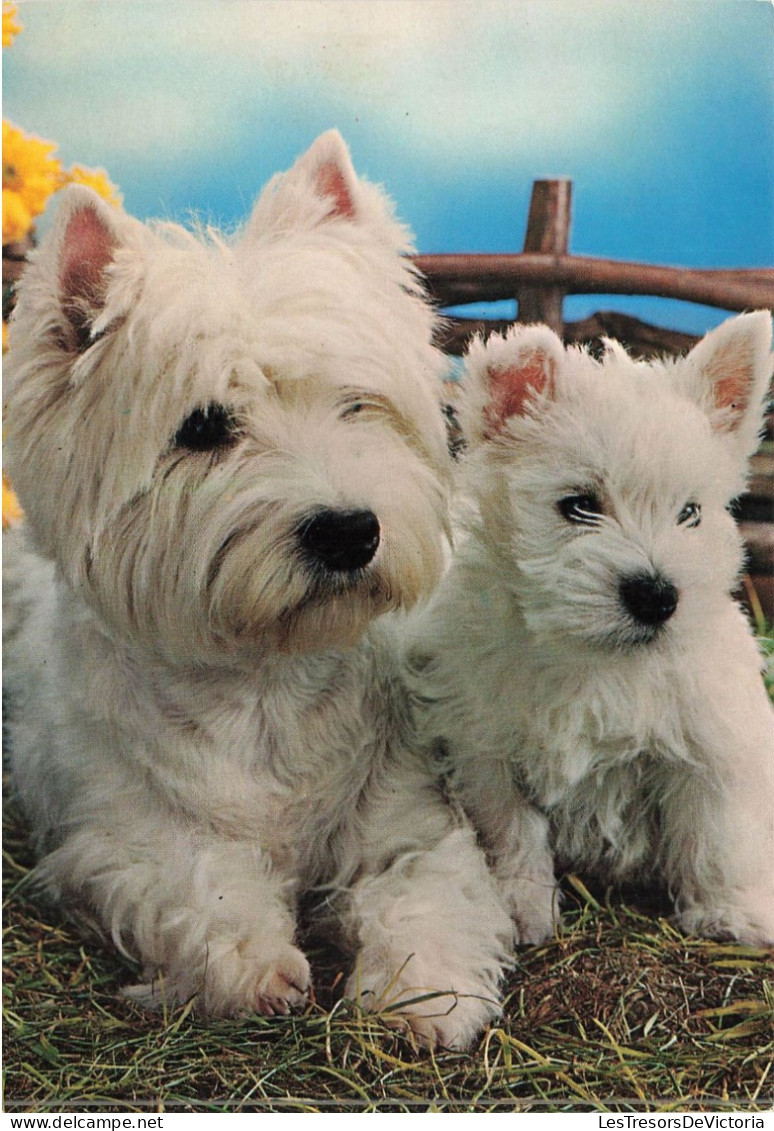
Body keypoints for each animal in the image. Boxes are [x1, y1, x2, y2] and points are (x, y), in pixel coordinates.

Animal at [6, 134, 516, 1049]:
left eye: (356, 403)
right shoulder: (121, 832)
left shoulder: (408, 813)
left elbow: (427, 885)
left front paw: (427, 992)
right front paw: (256, 964)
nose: (349, 531)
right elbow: (195, 885)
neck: (267, 685)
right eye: (203, 427)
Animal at [411, 314, 774, 950]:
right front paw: (524, 910)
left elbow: (717, 833)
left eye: (690, 513)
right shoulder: (483, 748)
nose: (657, 596)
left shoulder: (711, 745)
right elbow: (512, 833)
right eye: (579, 505)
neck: (594, 657)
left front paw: (733, 912)